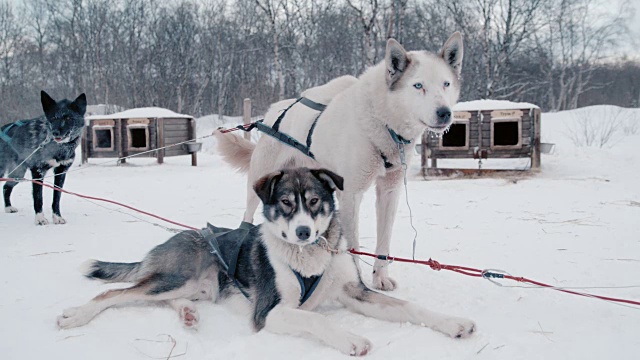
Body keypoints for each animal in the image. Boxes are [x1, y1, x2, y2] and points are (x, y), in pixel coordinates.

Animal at [0, 90, 85, 225]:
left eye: (68, 118)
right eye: (53, 118)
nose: (55, 132)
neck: (59, 148)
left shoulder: (61, 172)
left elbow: (56, 198)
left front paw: (57, 217)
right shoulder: (38, 171)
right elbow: (38, 197)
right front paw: (40, 219)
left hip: (18, 174)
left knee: (6, 186)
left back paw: (8, 207)